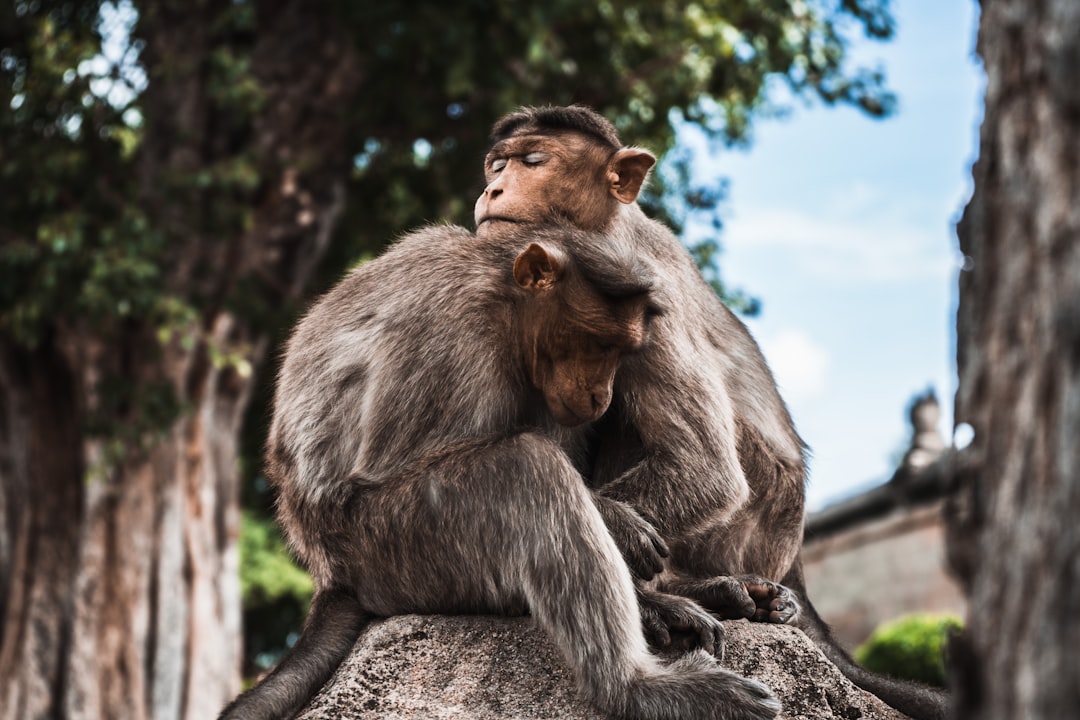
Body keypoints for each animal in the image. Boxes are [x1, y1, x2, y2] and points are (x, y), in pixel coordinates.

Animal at [214, 222, 781, 716]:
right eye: (599, 344)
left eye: (623, 351)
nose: (600, 394)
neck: (503, 296)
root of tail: (330, 572)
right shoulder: (450, 329)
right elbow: (390, 464)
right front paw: (619, 527)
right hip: (393, 549)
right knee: (524, 469)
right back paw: (632, 686)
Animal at [477, 102, 950, 720]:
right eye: (497, 164)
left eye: (533, 161)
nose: (492, 187)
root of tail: (794, 563)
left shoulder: (641, 297)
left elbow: (704, 468)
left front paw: (620, 534)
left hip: (746, 532)